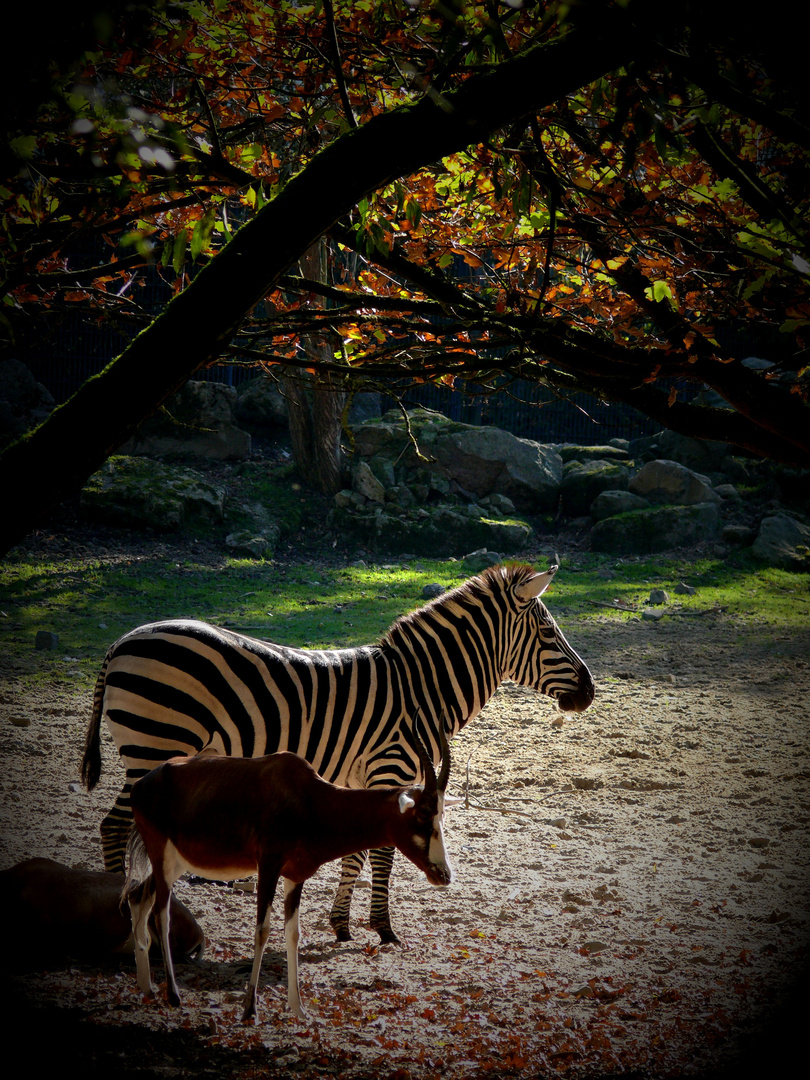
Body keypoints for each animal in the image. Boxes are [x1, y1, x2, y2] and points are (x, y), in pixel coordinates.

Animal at [82, 561, 591, 941]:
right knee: (115, 828)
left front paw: (342, 925)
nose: (589, 691)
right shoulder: (393, 767)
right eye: (549, 633)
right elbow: (382, 851)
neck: (422, 688)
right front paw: (383, 928)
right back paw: (122, 917)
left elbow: (357, 851)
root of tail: (122, 641)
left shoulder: (363, 778)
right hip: (154, 745)